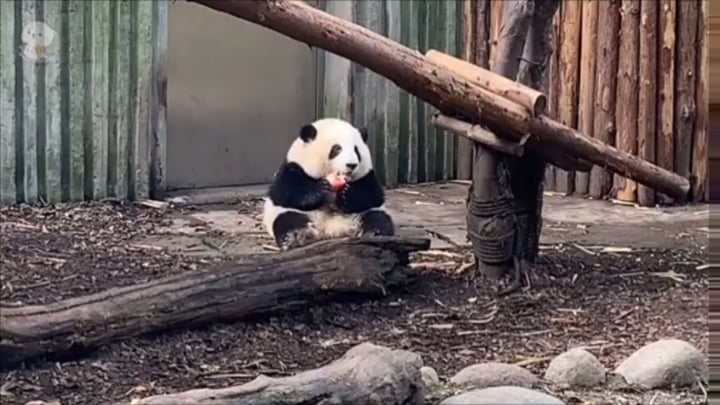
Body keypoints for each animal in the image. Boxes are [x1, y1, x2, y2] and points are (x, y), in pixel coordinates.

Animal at [262, 117, 395, 250]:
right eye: (337, 149)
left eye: (356, 150)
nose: (352, 165)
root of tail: (330, 229)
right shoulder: (293, 166)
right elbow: (284, 192)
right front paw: (321, 190)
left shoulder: (366, 174)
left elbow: (373, 194)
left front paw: (347, 193)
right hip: (290, 213)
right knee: (287, 220)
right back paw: (295, 236)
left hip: (364, 214)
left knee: (377, 218)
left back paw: (375, 233)